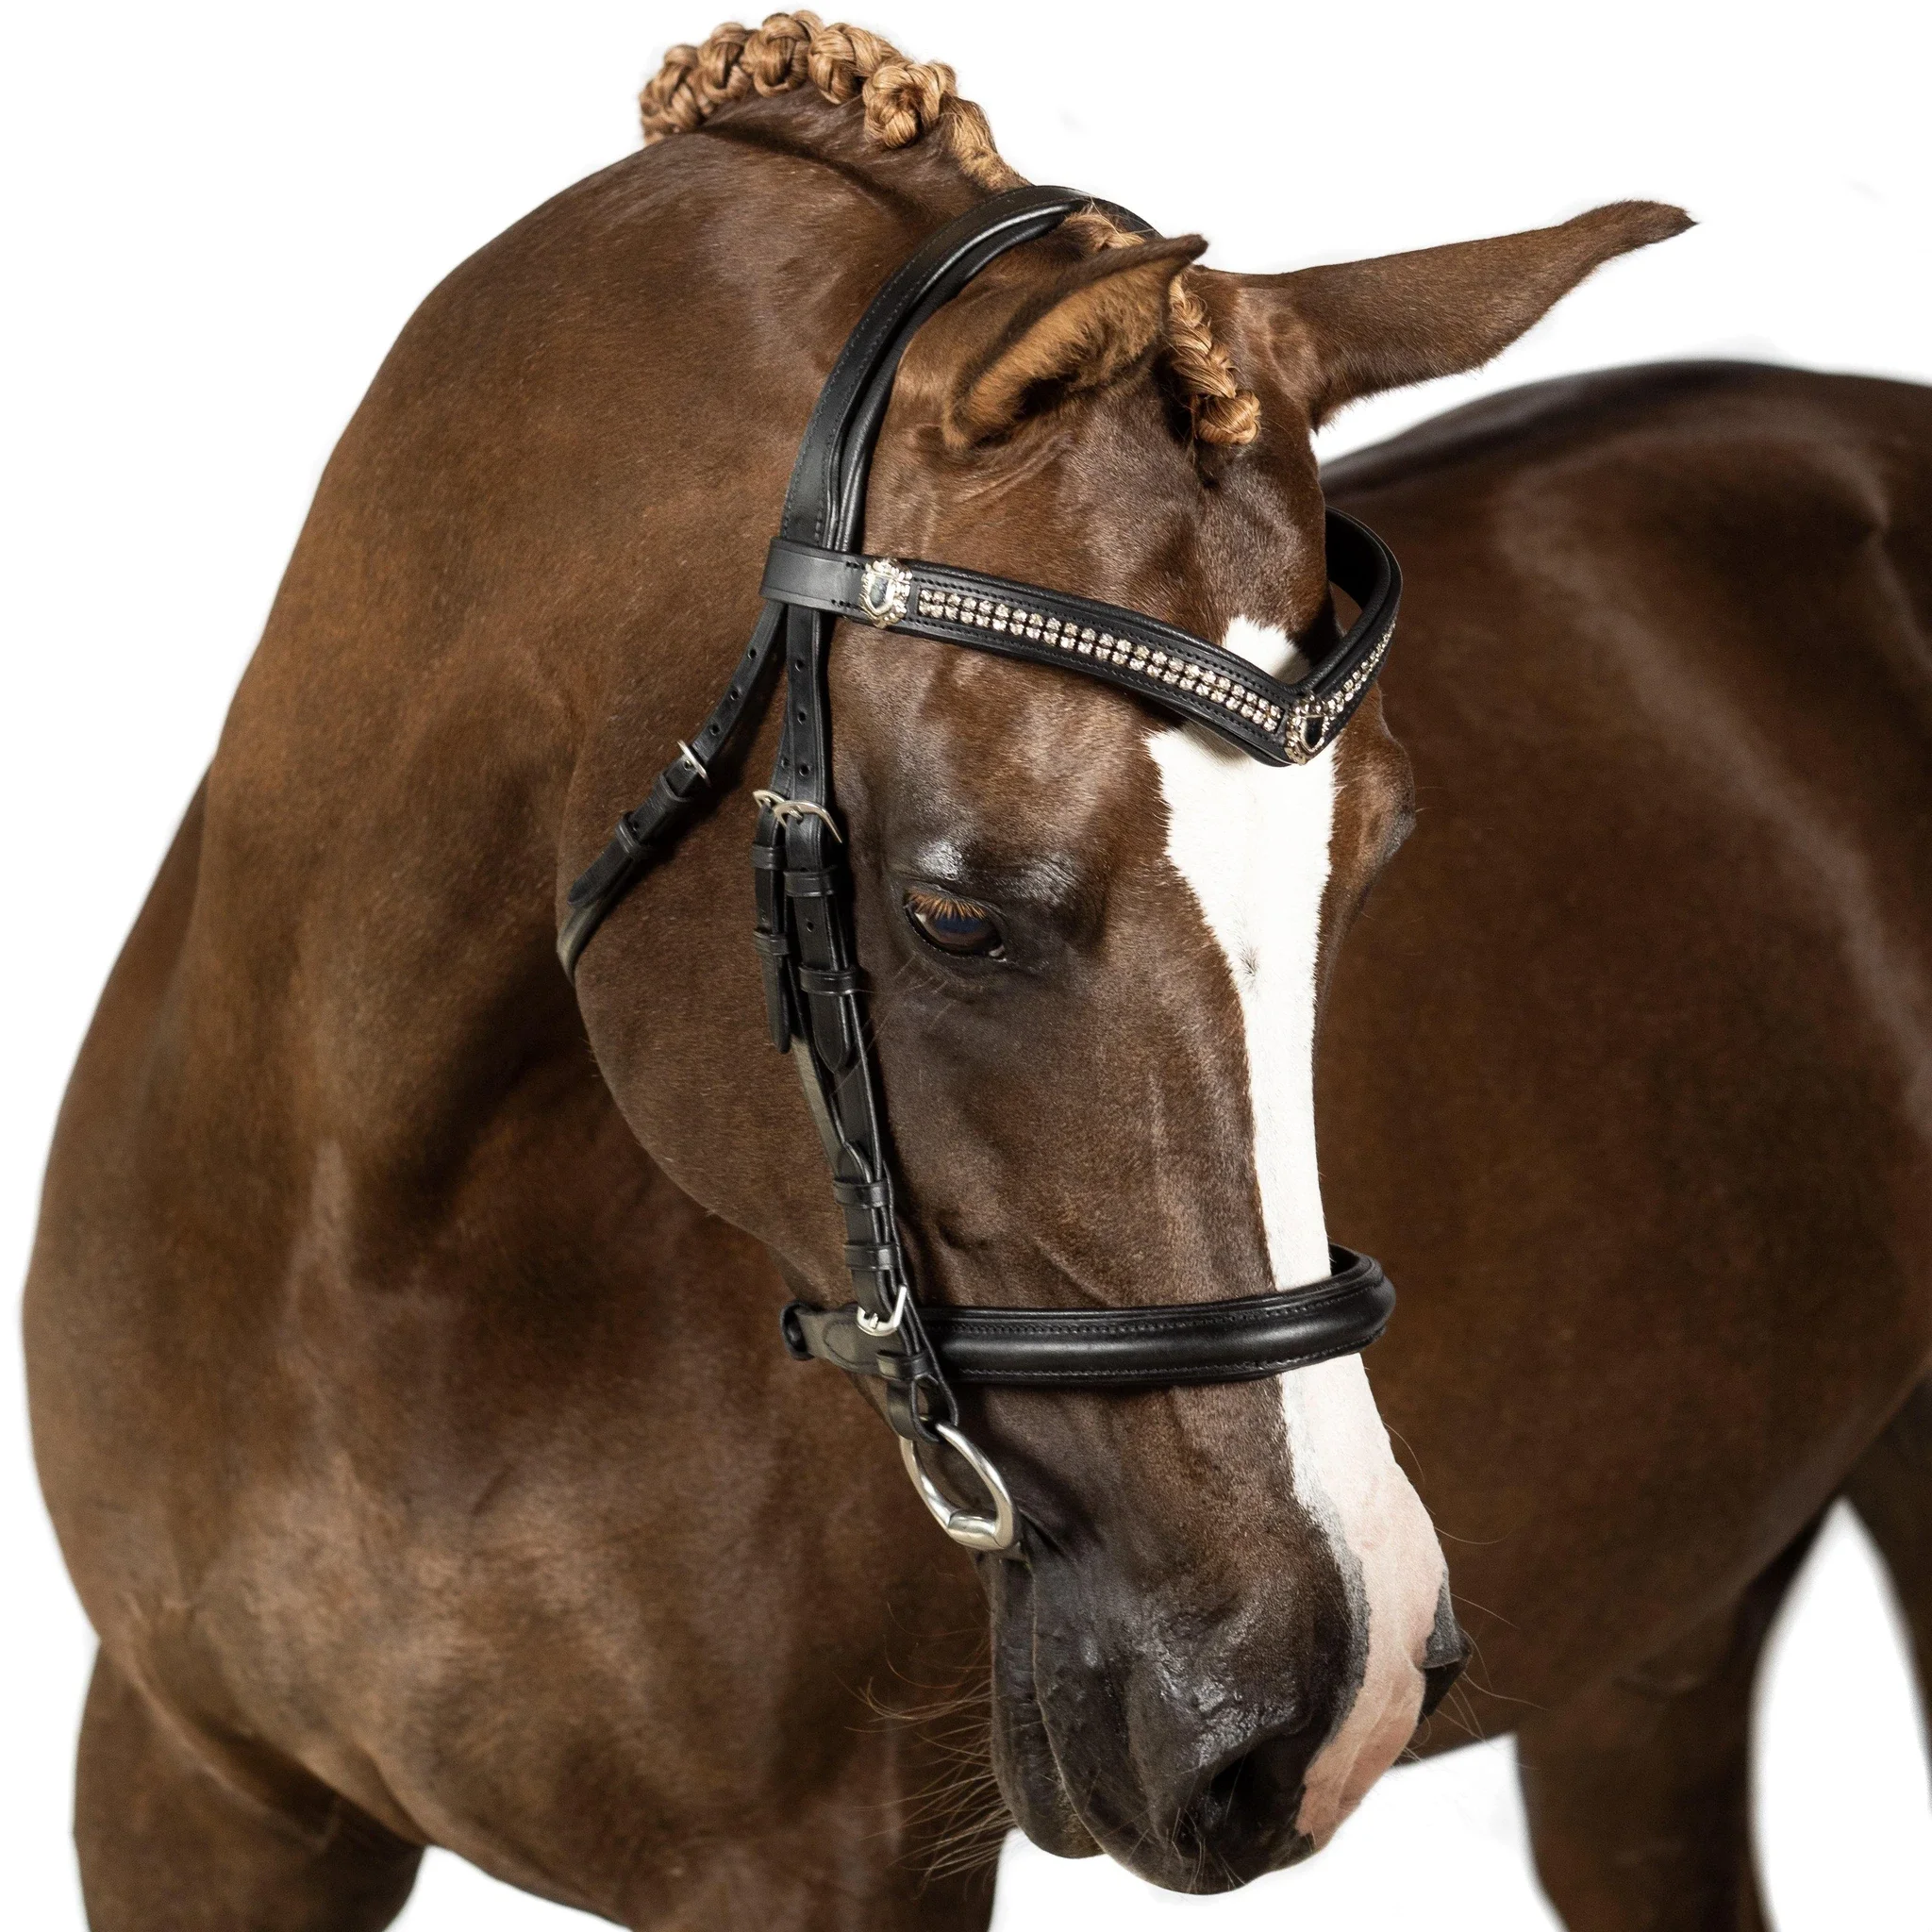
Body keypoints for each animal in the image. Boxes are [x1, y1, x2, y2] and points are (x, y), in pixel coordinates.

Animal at [22, 14, 1929, 1930]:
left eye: (1372, 858)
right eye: (951, 914)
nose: (1327, 1692)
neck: (376, 1260)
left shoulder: (829, 1863)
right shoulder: (192, 1790)